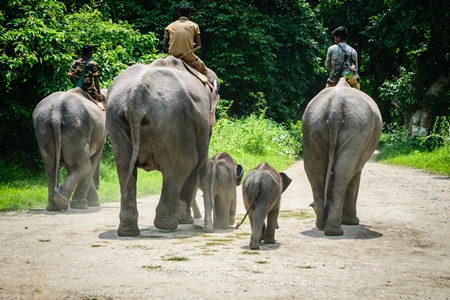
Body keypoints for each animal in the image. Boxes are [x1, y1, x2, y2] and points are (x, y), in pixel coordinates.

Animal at [105, 55, 218, 236]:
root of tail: (136, 96)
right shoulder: (203, 125)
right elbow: (199, 162)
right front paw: (186, 219)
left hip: (115, 118)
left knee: (123, 166)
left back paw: (128, 231)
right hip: (173, 120)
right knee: (183, 164)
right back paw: (168, 225)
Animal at [302, 78, 380, 237]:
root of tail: (335, 108)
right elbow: (355, 173)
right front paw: (352, 222)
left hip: (312, 125)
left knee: (314, 169)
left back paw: (322, 225)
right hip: (358, 128)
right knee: (345, 171)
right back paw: (336, 230)